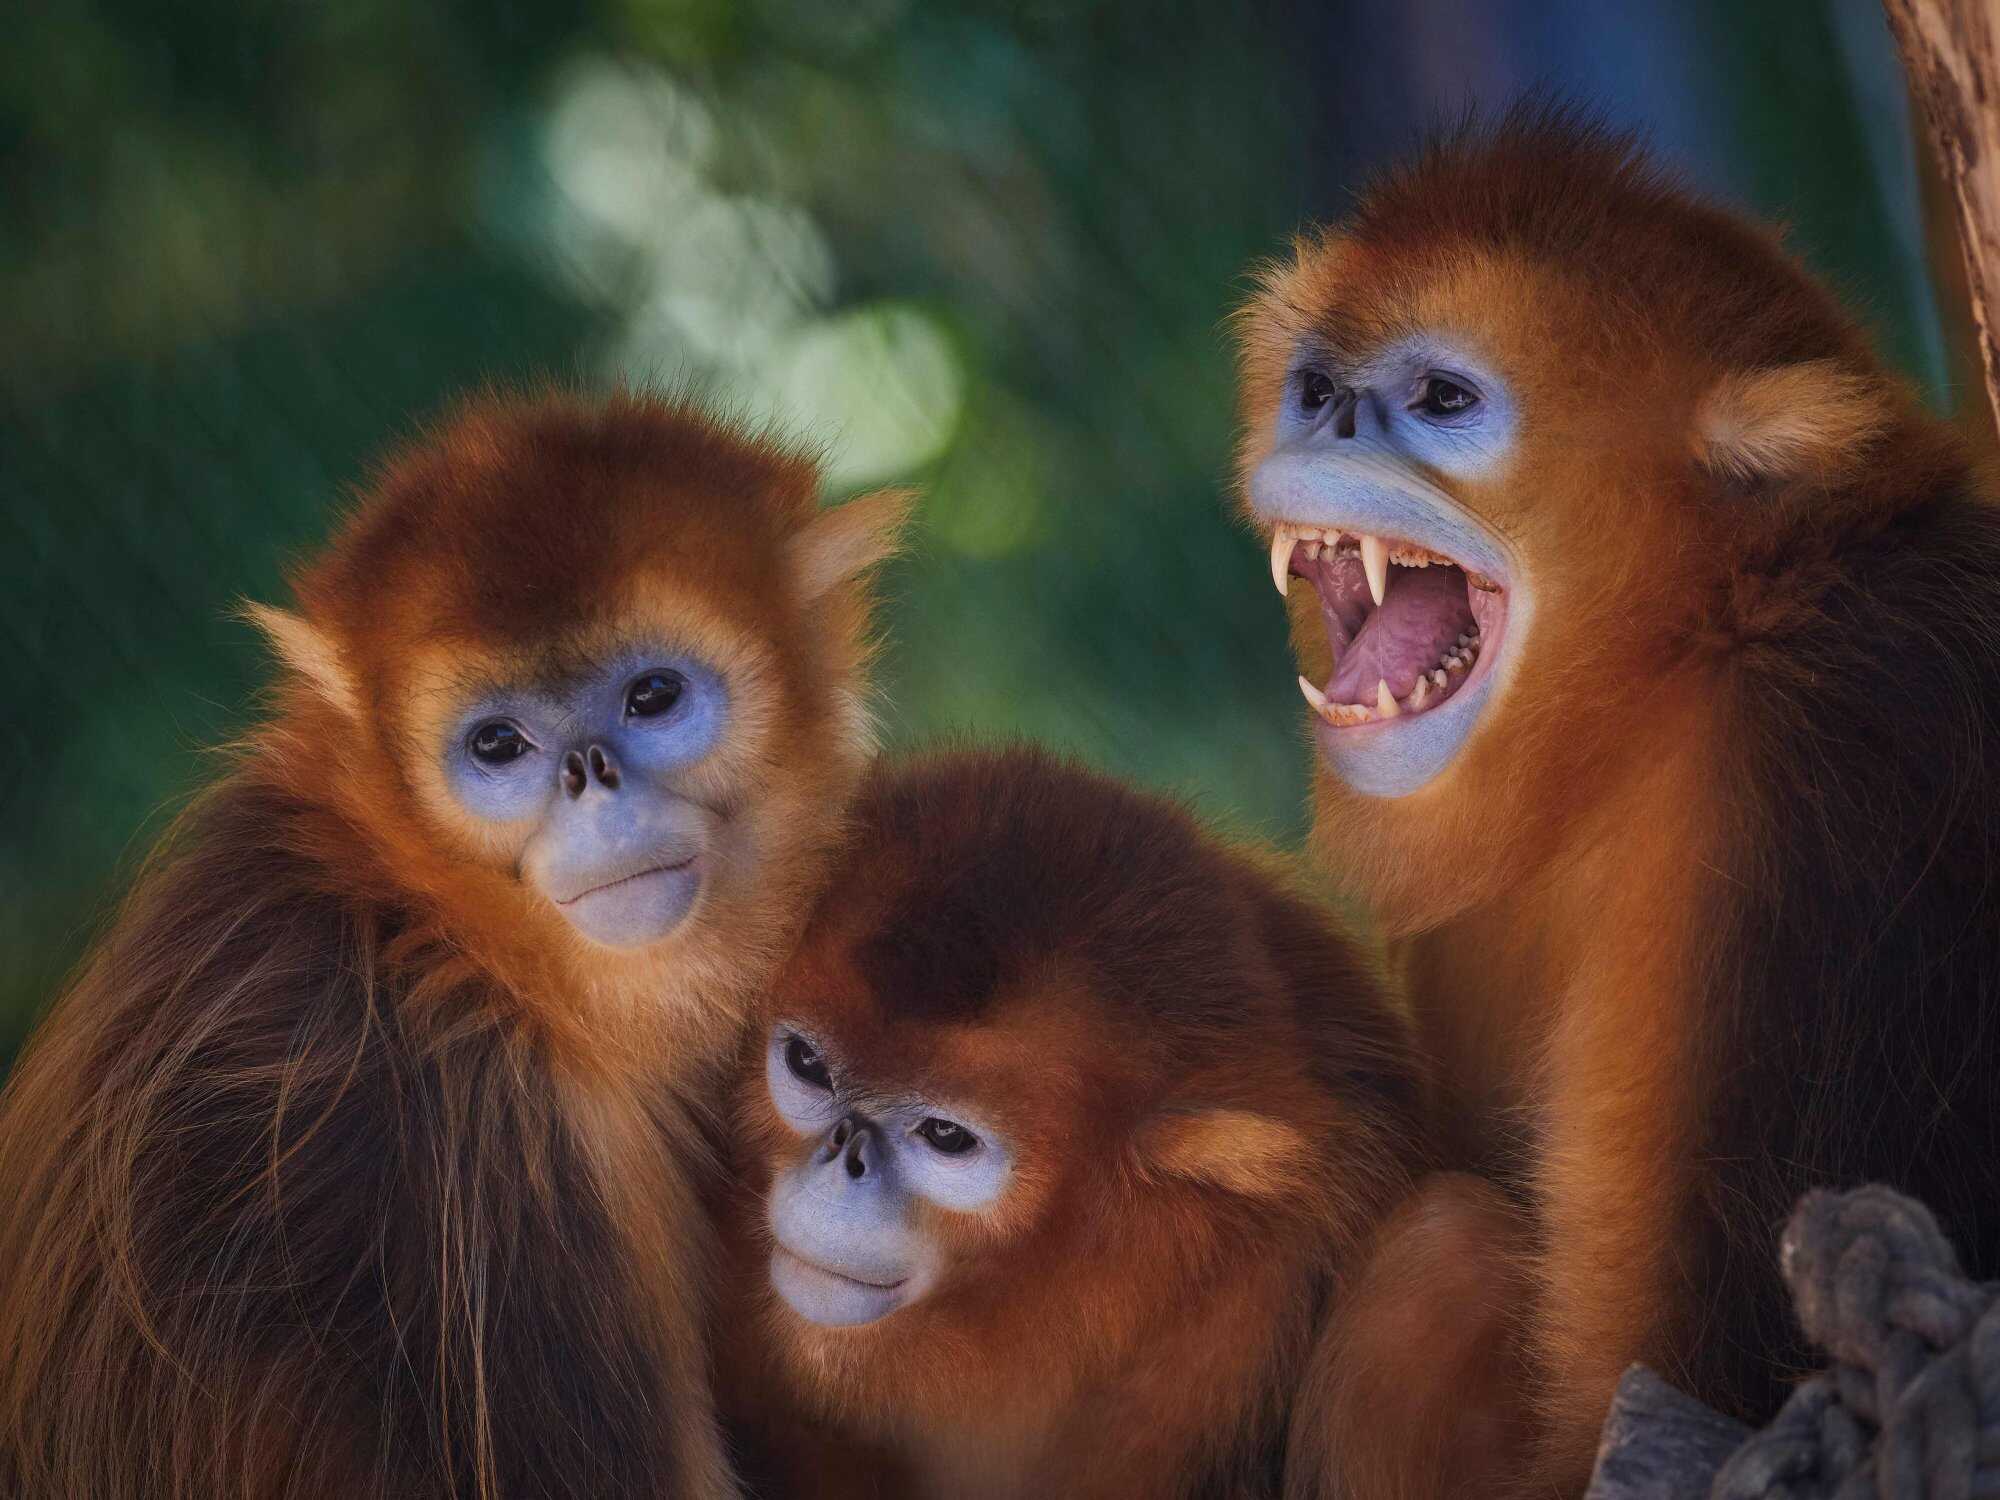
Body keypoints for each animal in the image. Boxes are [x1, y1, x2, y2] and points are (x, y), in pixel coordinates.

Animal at [1233, 105, 2000, 1494]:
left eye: (1439, 398)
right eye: (1312, 386)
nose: (1322, 423)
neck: (1671, 673)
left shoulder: (1817, 769)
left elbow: (1668, 1398)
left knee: (1440, 1251)